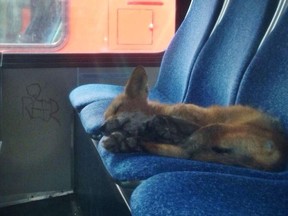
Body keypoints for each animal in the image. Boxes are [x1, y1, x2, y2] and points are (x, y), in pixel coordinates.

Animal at [100, 66, 288, 170]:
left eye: (118, 108)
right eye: (105, 117)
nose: (100, 129)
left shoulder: (195, 120)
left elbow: (171, 125)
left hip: (213, 129)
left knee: (185, 153)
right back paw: (129, 143)